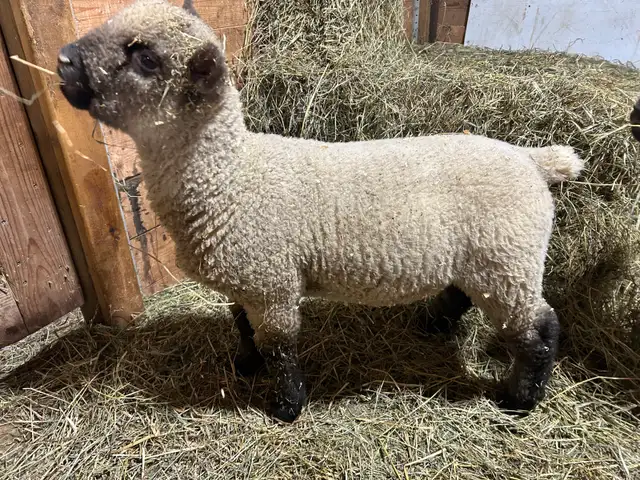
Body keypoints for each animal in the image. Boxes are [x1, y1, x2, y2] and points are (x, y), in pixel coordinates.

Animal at [56, 0, 585, 423]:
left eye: (147, 59)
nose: (63, 61)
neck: (233, 178)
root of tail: (531, 160)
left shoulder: (271, 283)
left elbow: (280, 348)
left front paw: (287, 406)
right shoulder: (250, 277)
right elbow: (241, 324)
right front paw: (244, 365)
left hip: (509, 260)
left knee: (539, 328)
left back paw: (519, 399)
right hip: (483, 258)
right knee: (463, 293)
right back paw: (434, 325)